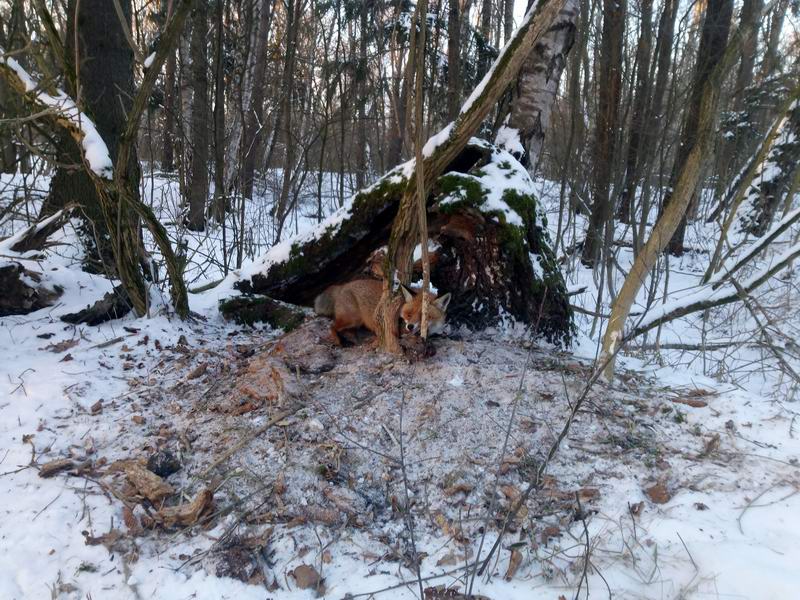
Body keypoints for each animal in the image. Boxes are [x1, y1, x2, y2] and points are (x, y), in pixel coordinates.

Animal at [312, 278, 450, 344]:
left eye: (424, 316)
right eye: (409, 314)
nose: (410, 326)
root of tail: (343, 285)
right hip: (352, 319)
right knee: (332, 326)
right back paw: (338, 340)